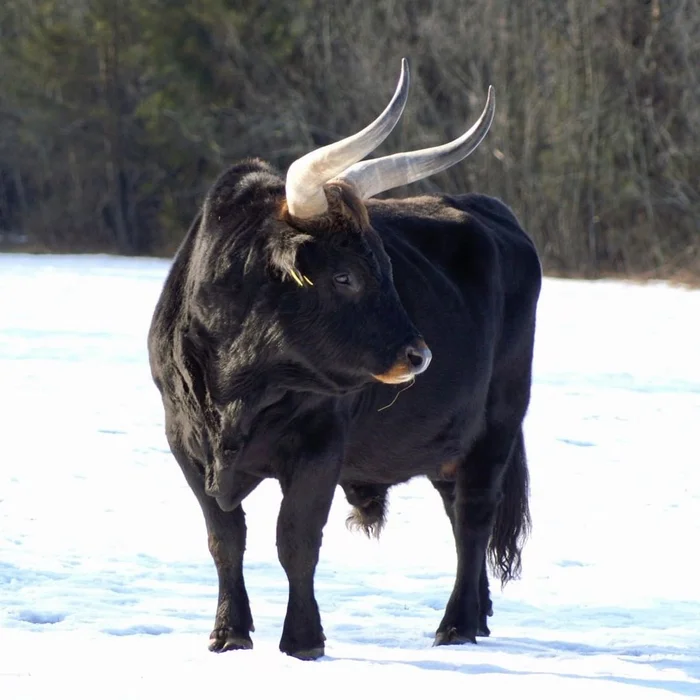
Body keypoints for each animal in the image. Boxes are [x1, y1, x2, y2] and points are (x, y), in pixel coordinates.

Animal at [146, 157, 540, 656]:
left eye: (387, 268)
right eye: (344, 275)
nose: (419, 355)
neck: (237, 388)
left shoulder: (319, 447)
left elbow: (296, 539)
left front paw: (303, 640)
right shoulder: (185, 444)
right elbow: (225, 539)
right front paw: (229, 631)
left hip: (497, 425)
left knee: (474, 518)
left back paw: (457, 625)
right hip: (448, 440)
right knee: (458, 515)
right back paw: (479, 612)